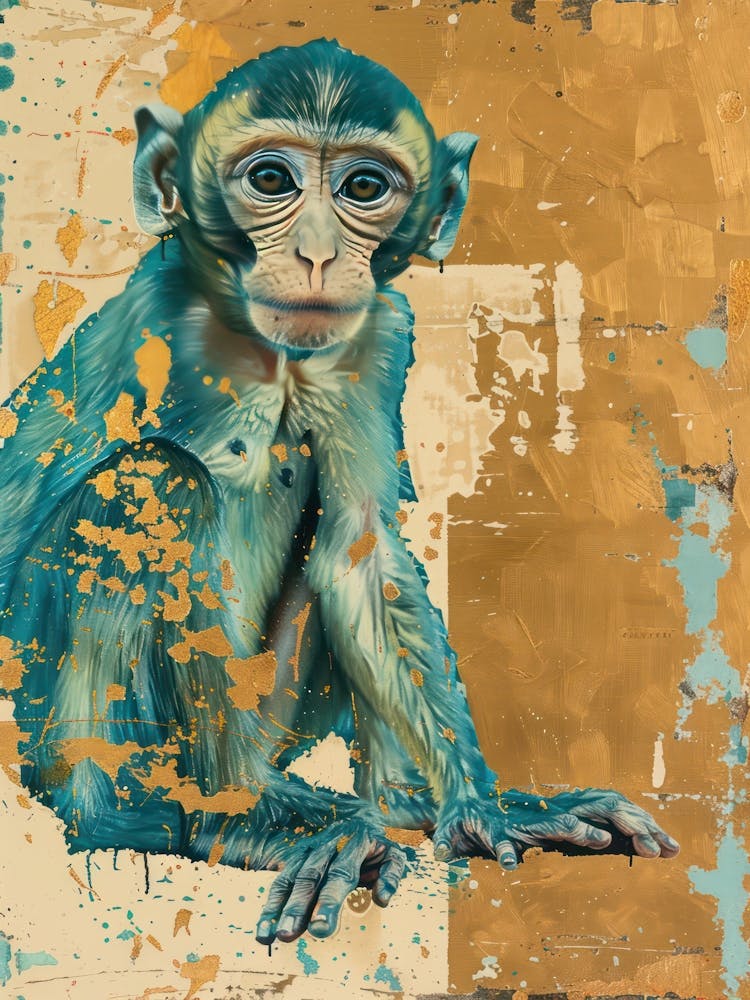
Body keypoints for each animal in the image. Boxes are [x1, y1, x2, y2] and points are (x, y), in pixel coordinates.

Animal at [0, 39, 679, 947]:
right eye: (271, 179)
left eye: (363, 187)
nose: (320, 253)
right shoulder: (162, 317)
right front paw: (244, 823)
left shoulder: (374, 339)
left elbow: (360, 554)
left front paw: (485, 811)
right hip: (62, 735)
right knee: (152, 478)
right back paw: (195, 816)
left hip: (275, 711)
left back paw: (401, 807)